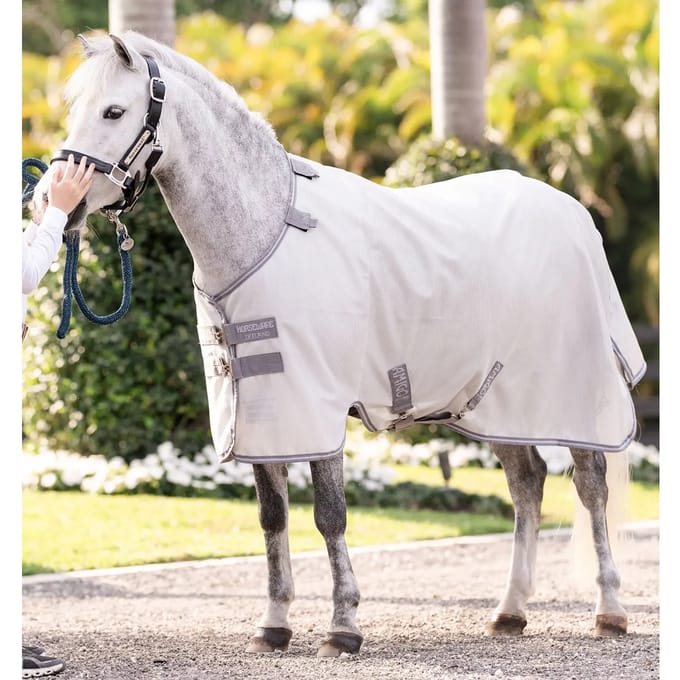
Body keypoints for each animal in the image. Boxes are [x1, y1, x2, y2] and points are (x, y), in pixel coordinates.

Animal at [41, 31, 646, 656]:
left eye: (114, 111)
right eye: (75, 108)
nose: (56, 199)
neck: (267, 230)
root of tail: (575, 213)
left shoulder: (318, 405)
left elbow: (329, 515)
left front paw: (343, 627)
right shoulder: (266, 410)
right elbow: (272, 517)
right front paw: (274, 625)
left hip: (572, 400)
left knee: (591, 489)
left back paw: (609, 610)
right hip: (498, 405)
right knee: (527, 485)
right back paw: (509, 612)